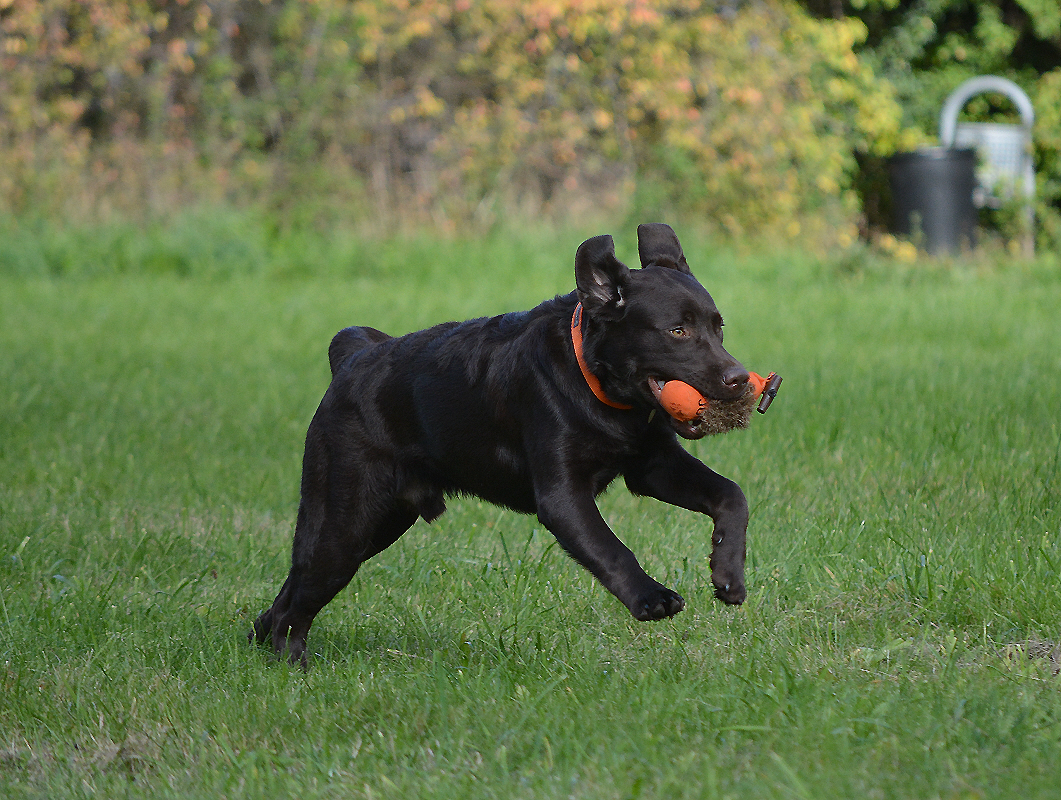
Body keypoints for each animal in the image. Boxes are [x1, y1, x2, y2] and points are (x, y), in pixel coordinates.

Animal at [252, 221, 755, 662]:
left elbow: (732, 495)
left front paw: (727, 573)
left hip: (378, 523)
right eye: (677, 331)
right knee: (297, 601)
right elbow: (611, 548)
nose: (738, 379)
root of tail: (351, 358)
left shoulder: (653, 466)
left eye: (719, 327)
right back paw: (292, 665)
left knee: (289, 592)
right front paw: (650, 598)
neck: (597, 387)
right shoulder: (562, 496)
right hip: (348, 523)